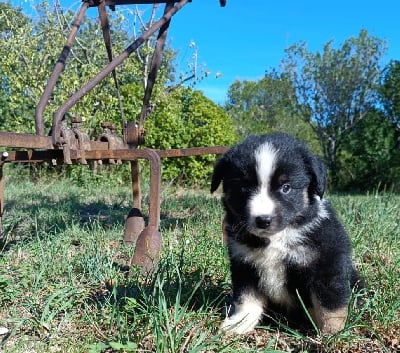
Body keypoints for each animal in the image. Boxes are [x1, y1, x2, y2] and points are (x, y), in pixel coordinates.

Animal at [211, 132, 364, 332]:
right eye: (244, 188)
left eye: (286, 187)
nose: (263, 220)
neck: (277, 238)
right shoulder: (244, 264)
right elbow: (246, 298)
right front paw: (239, 324)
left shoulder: (326, 263)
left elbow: (330, 304)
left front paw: (332, 333)